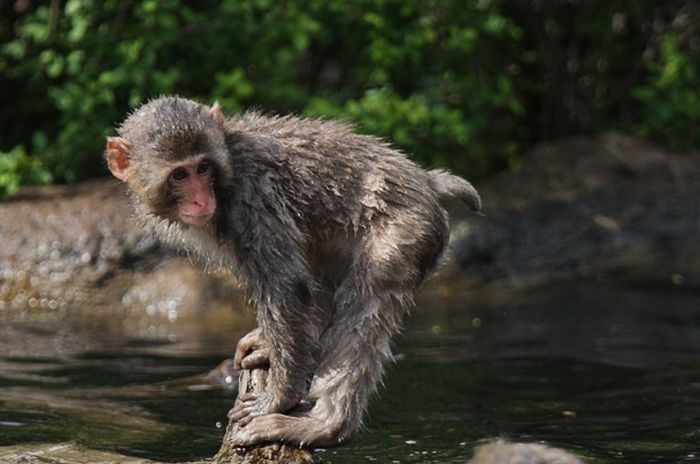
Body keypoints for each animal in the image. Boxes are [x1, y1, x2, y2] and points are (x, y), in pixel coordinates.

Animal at [106, 96, 482, 448]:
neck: (230, 163)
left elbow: (286, 284)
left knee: (366, 303)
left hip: (405, 227)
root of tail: (426, 180)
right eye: (180, 175)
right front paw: (267, 345)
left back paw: (328, 425)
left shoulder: (253, 196)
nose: (200, 200)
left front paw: (279, 398)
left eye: (203, 168)